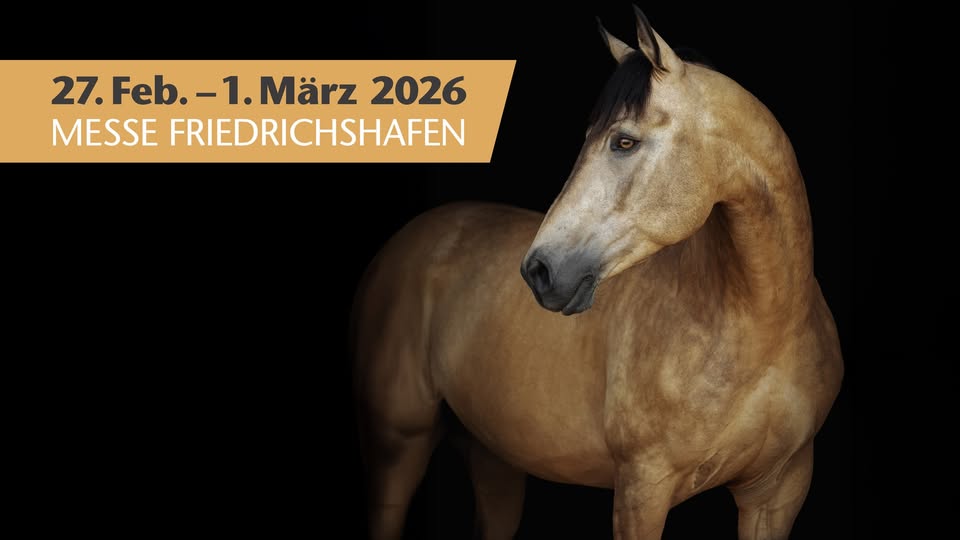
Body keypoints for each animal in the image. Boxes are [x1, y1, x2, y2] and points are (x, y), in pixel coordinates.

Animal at [351, 7, 843, 539]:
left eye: (624, 141)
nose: (539, 270)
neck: (764, 328)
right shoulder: (641, 491)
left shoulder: (777, 492)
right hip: (398, 447)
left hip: (494, 458)